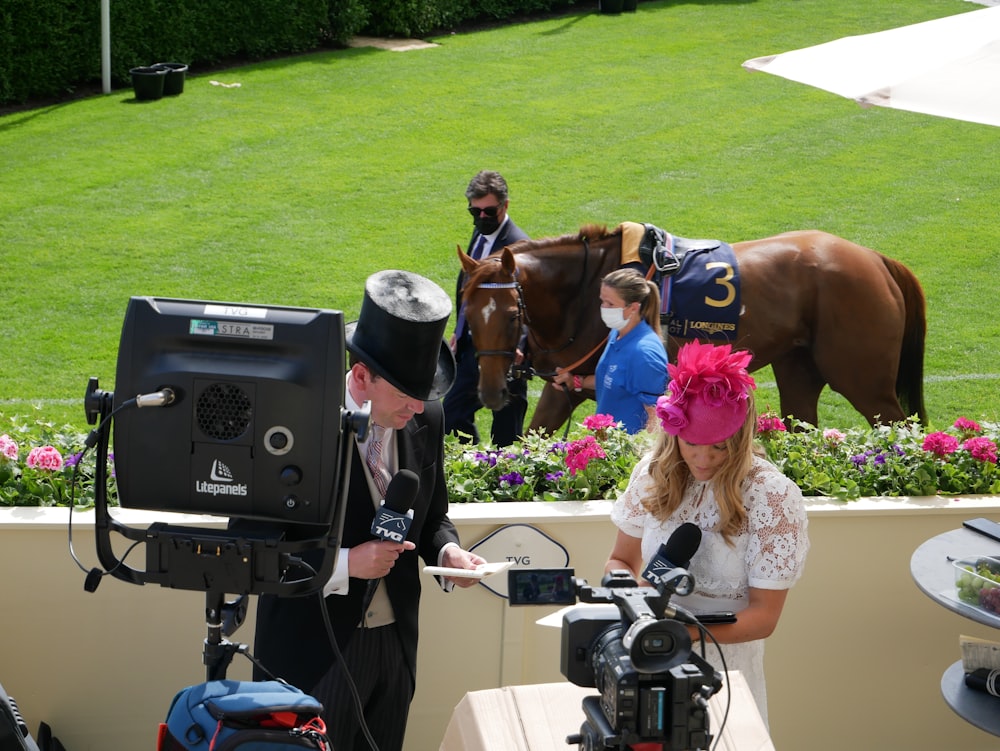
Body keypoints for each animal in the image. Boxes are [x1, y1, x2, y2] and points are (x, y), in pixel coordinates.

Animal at [458, 223, 924, 434]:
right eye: (468, 309)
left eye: (512, 315)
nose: (490, 392)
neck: (587, 289)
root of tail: (877, 258)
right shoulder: (563, 384)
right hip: (799, 370)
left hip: (863, 381)